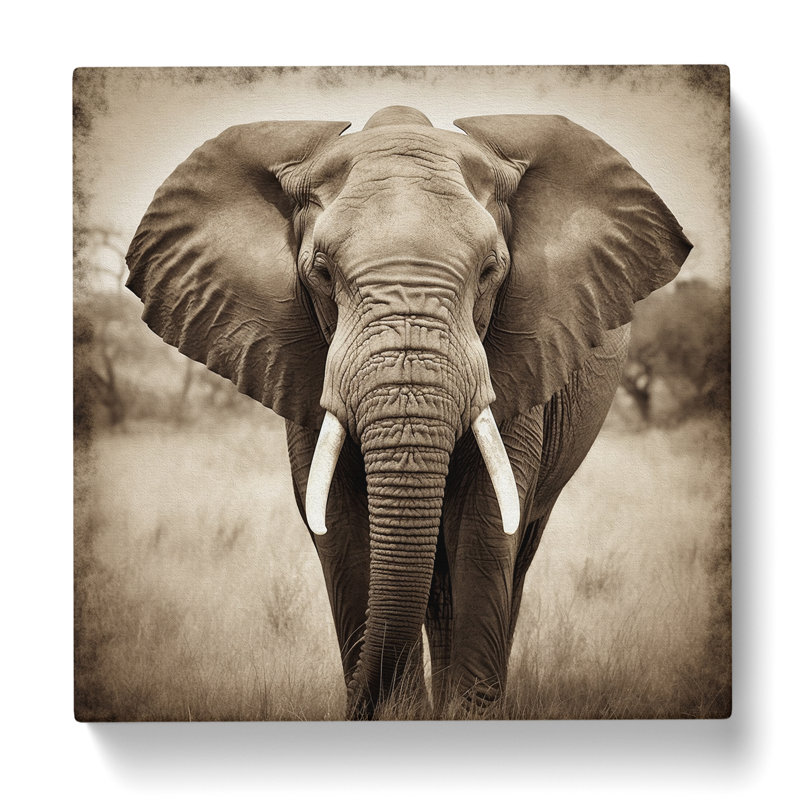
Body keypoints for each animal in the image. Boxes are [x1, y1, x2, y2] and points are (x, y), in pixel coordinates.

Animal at [125, 105, 691, 719]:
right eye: (321, 272)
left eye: (491, 270)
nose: (358, 704)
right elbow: (340, 523)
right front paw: (396, 715)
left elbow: (485, 522)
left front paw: (466, 716)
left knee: (513, 552)